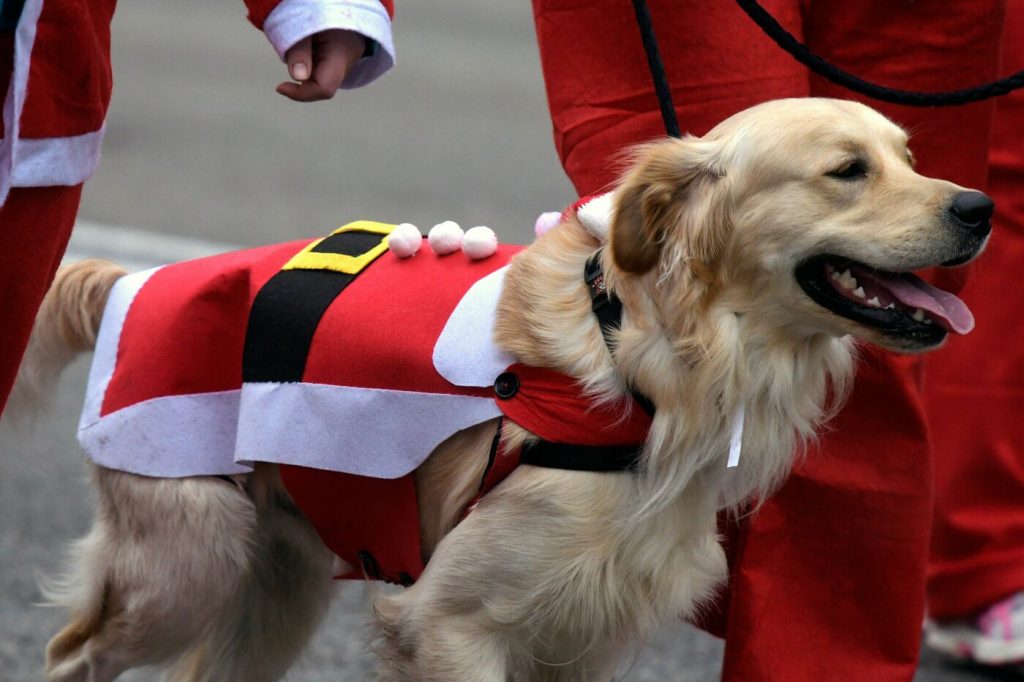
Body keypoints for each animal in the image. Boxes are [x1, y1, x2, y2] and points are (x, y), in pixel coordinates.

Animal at [18, 96, 991, 679]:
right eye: (847, 170)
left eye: (909, 156)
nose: (979, 207)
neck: (645, 362)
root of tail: (136, 282)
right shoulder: (451, 624)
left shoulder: (583, 638)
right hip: (184, 566)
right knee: (73, 654)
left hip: (272, 586)